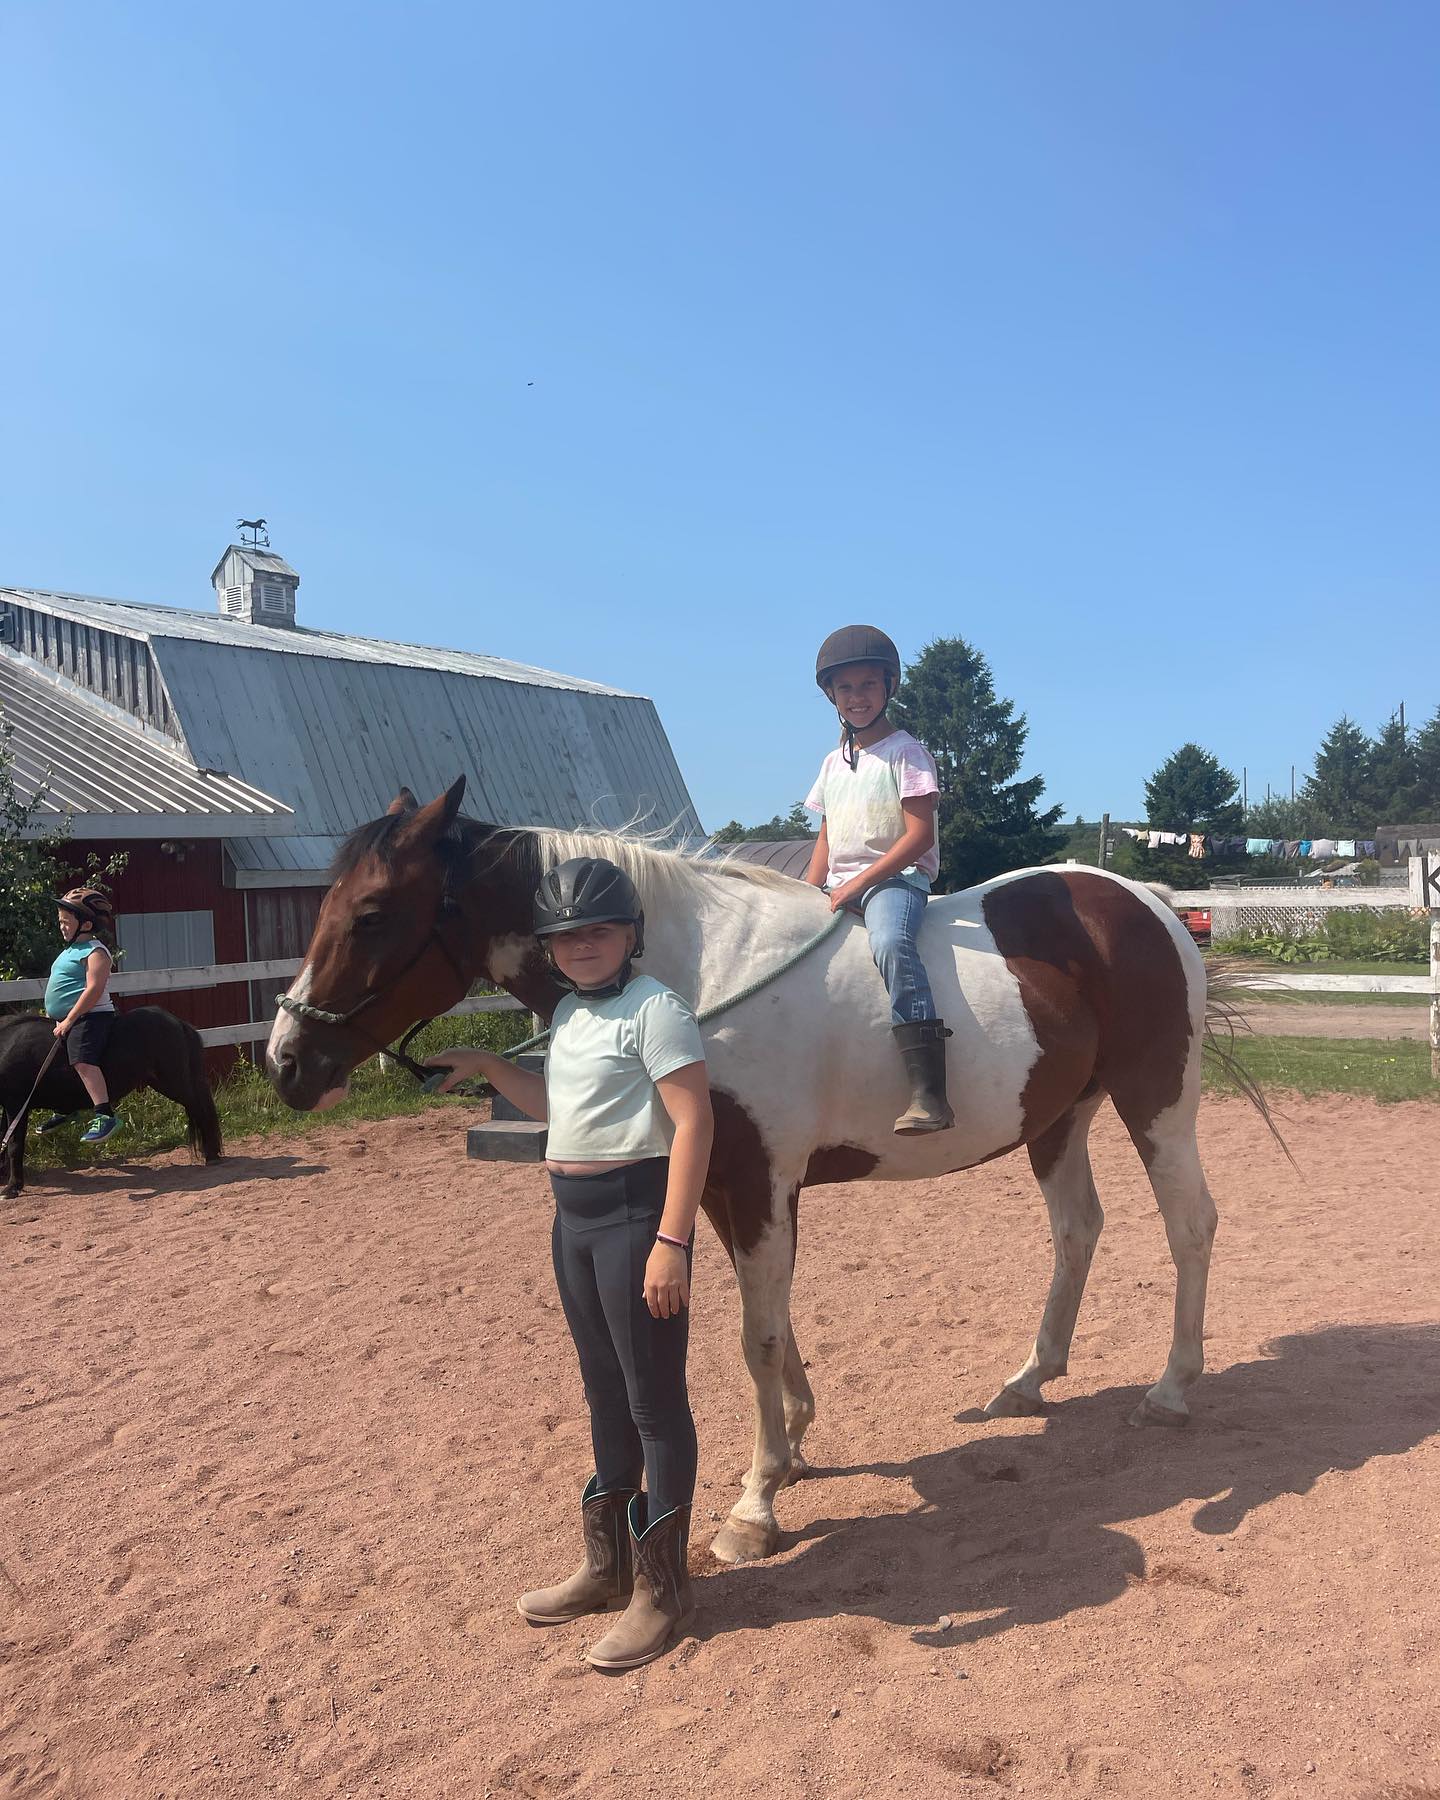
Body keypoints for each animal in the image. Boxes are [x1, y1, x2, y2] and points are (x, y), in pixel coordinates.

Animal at [0, 1008, 224, 1200]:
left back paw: (212, 1156)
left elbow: (14, 1145)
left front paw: (13, 1187)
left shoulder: (16, 1105)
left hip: (174, 1083)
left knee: (200, 1110)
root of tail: (176, 1021)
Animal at [267, 778, 1257, 1565]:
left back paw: (1171, 1390)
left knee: (1192, 1225)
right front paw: (797, 1443)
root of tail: (1144, 900)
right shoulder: (722, 1185)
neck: (697, 973)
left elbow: (757, 1337)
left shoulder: (756, 1183)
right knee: (1077, 1231)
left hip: (1154, 1100)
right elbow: (773, 1323)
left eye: (371, 914)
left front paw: (755, 1502)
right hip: (1057, 1118)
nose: (285, 1062)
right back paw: (1027, 1380)